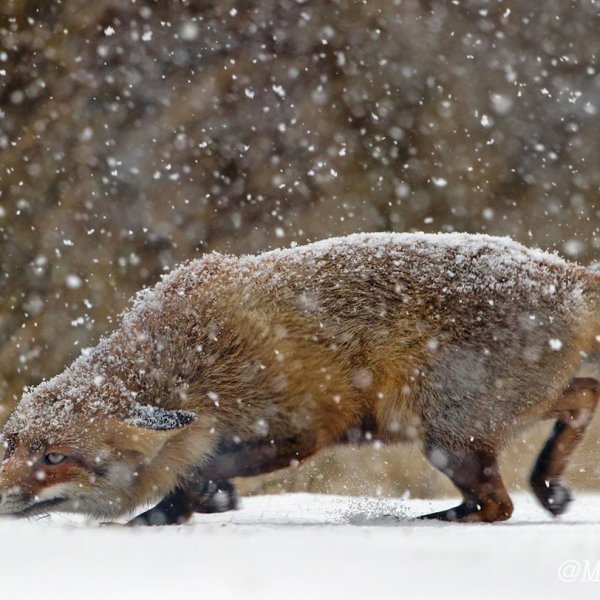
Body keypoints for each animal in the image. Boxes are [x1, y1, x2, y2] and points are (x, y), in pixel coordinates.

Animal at [1, 232, 600, 524]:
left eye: (54, 455)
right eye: (9, 444)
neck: (195, 361)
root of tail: (561, 271)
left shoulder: (302, 430)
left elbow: (200, 475)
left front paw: (205, 500)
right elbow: (178, 495)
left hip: (446, 437)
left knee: (497, 507)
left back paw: (429, 520)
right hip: (488, 416)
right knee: (585, 395)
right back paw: (548, 485)